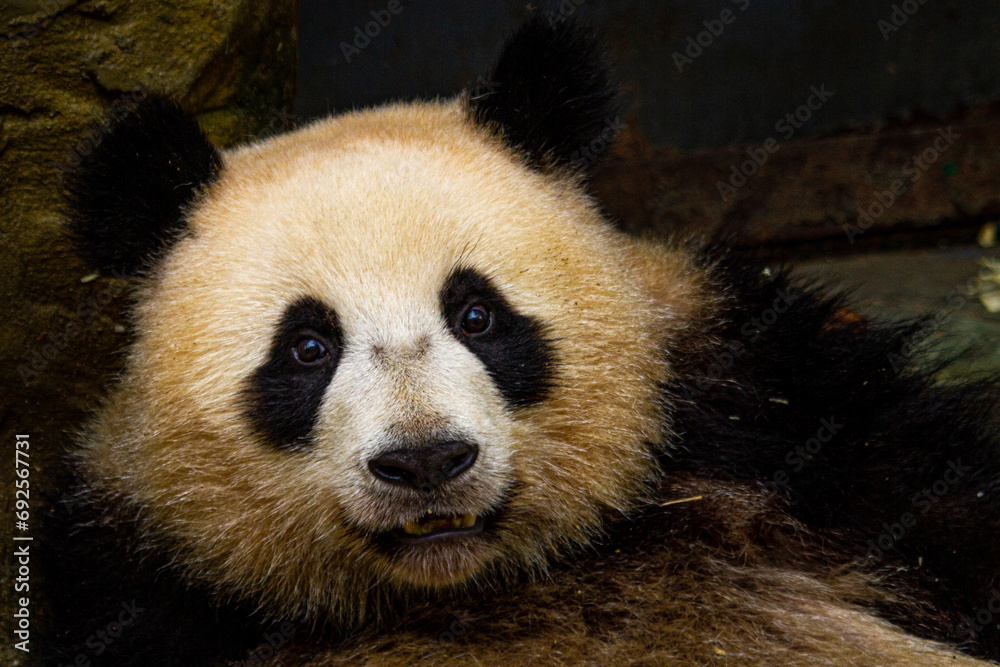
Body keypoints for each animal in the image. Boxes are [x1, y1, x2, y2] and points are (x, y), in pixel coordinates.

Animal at [40, 16, 1000, 666]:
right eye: (307, 347)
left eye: (478, 315)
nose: (425, 460)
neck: (472, 580)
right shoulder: (144, 582)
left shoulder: (769, 402)